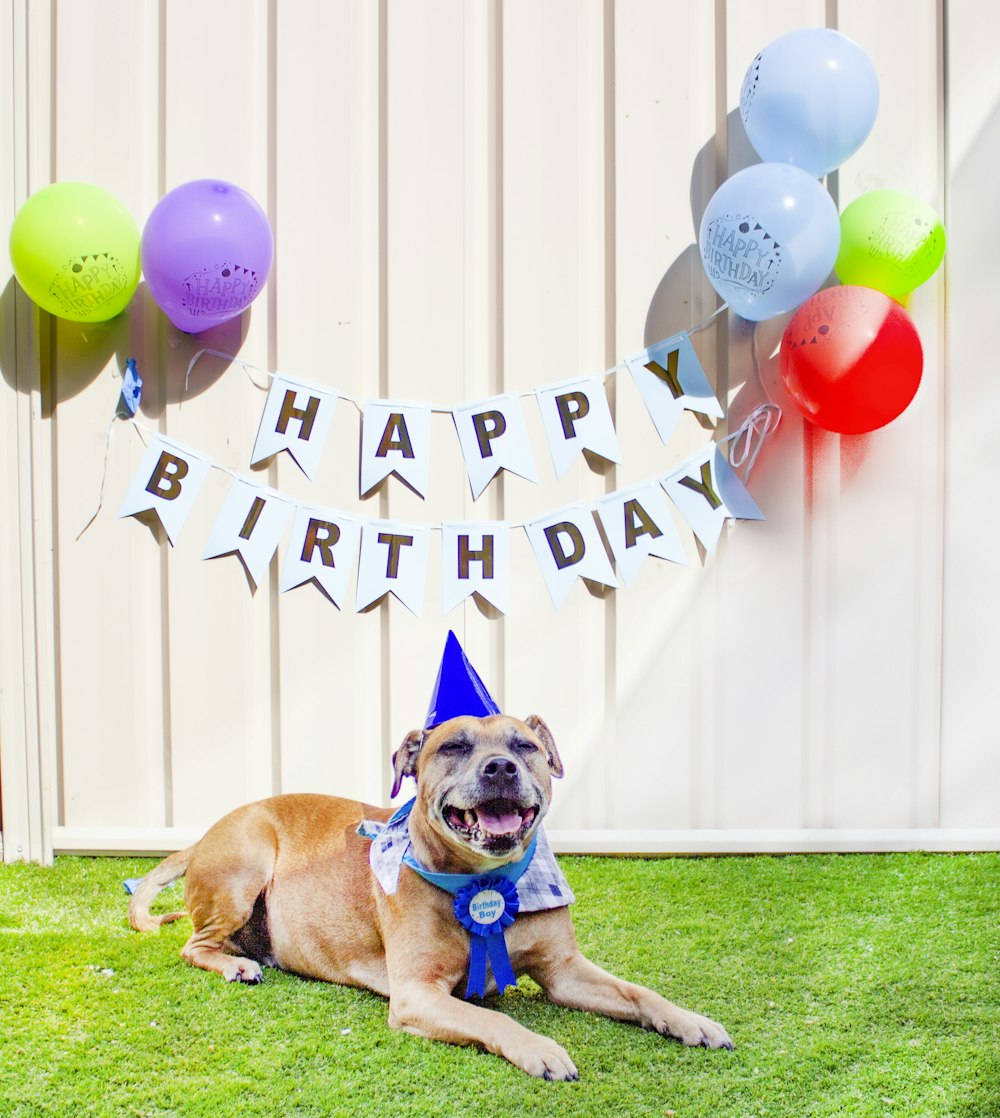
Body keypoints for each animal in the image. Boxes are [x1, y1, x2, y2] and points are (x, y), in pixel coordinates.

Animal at [129, 711, 733, 1077]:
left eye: (525, 745)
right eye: (454, 747)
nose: (500, 767)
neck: (484, 878)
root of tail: (204, 835)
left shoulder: (566, 970)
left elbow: (639, 993)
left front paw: (689, 1020)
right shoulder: (417, 994)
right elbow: (495, 1020)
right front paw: (539, 1048)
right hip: (246, 863)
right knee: (194, 944)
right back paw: (236, 965)